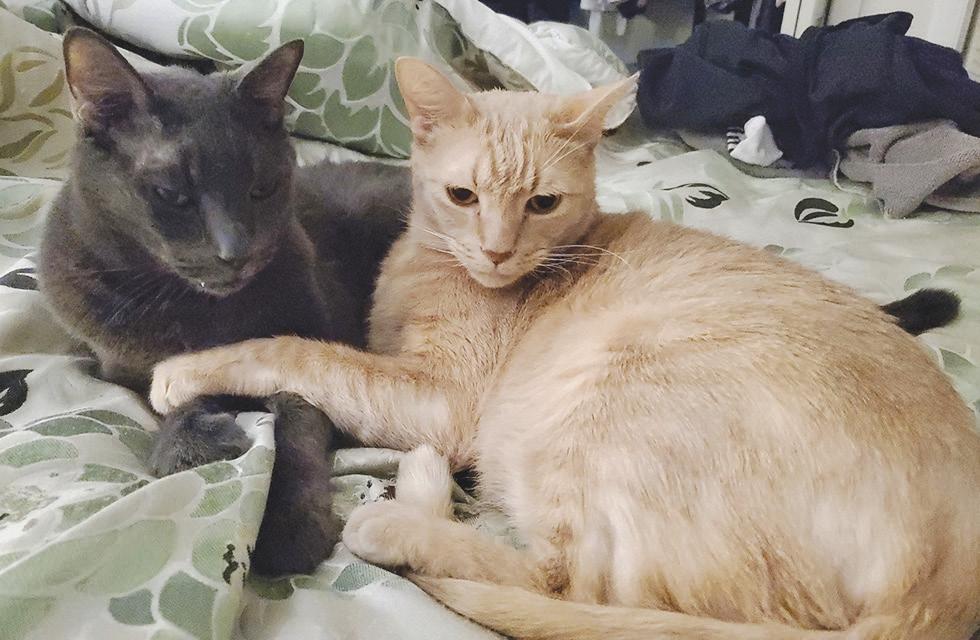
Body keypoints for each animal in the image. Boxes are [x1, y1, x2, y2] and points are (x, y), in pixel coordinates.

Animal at [37, 28, 409, 574]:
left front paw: (287, 526)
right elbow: (172, 393)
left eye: (262, 187)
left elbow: (295, 424)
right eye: (172, 192)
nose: (235, 251)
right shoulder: (121, 364)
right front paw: (192, 438)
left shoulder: (307, 342)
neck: (199, 311)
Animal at [147, 59, 980, 639]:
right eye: (463, 196)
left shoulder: (437, 395)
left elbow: (299, 351)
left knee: (560, 582)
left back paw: (403, 510)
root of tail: (942, 593)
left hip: (597, 412)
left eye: (542, 202)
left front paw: (182, 372)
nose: (497, 250)